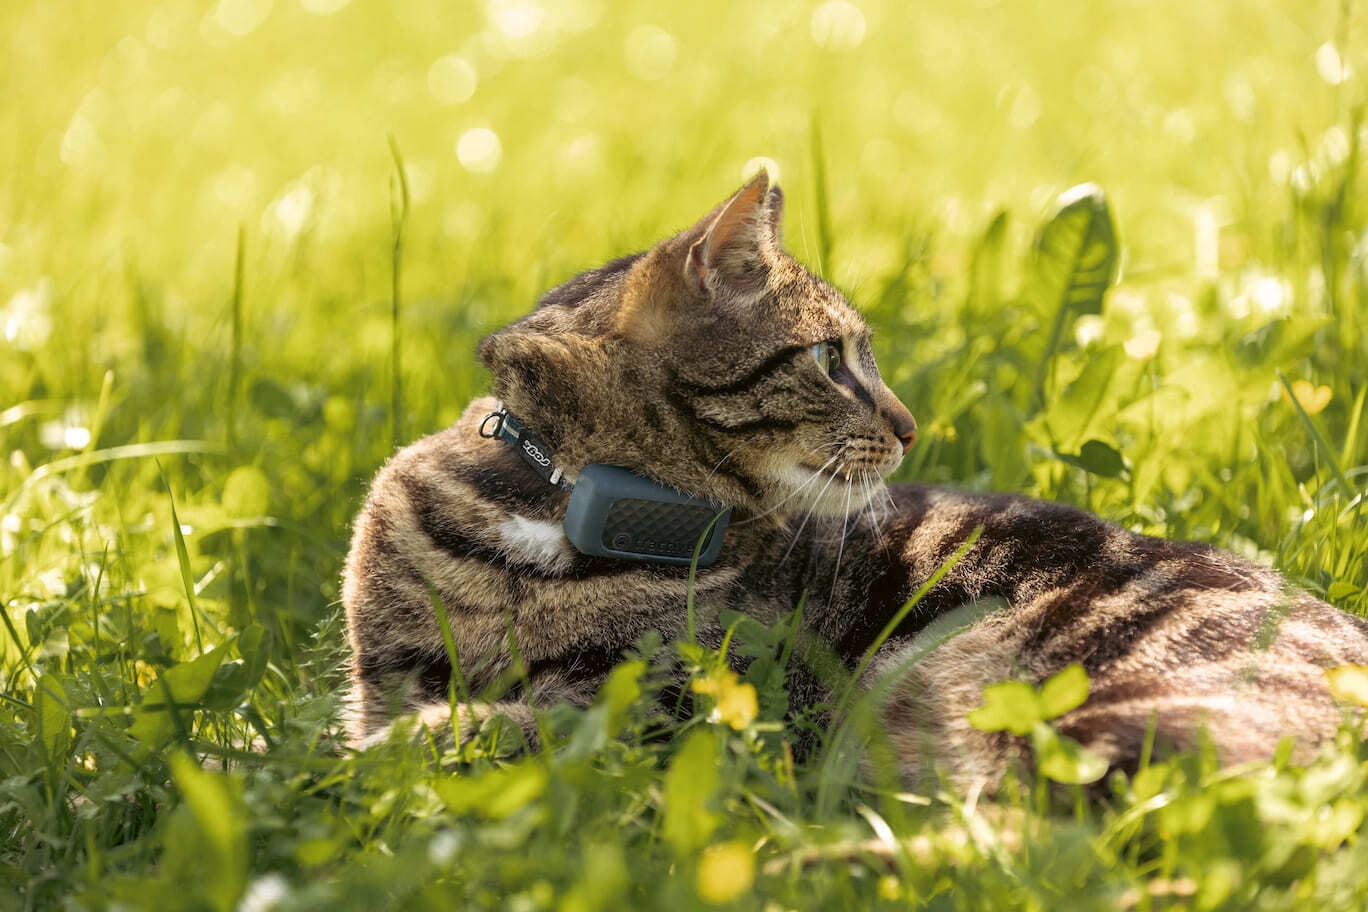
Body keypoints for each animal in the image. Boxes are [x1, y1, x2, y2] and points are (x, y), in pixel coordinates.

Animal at [339, 175, 1368, 787]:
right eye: (832, 358)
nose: (912, 426)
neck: (551, 513)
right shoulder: (379, 675)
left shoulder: (682, 711)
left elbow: (520, 727)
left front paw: (415, 747)